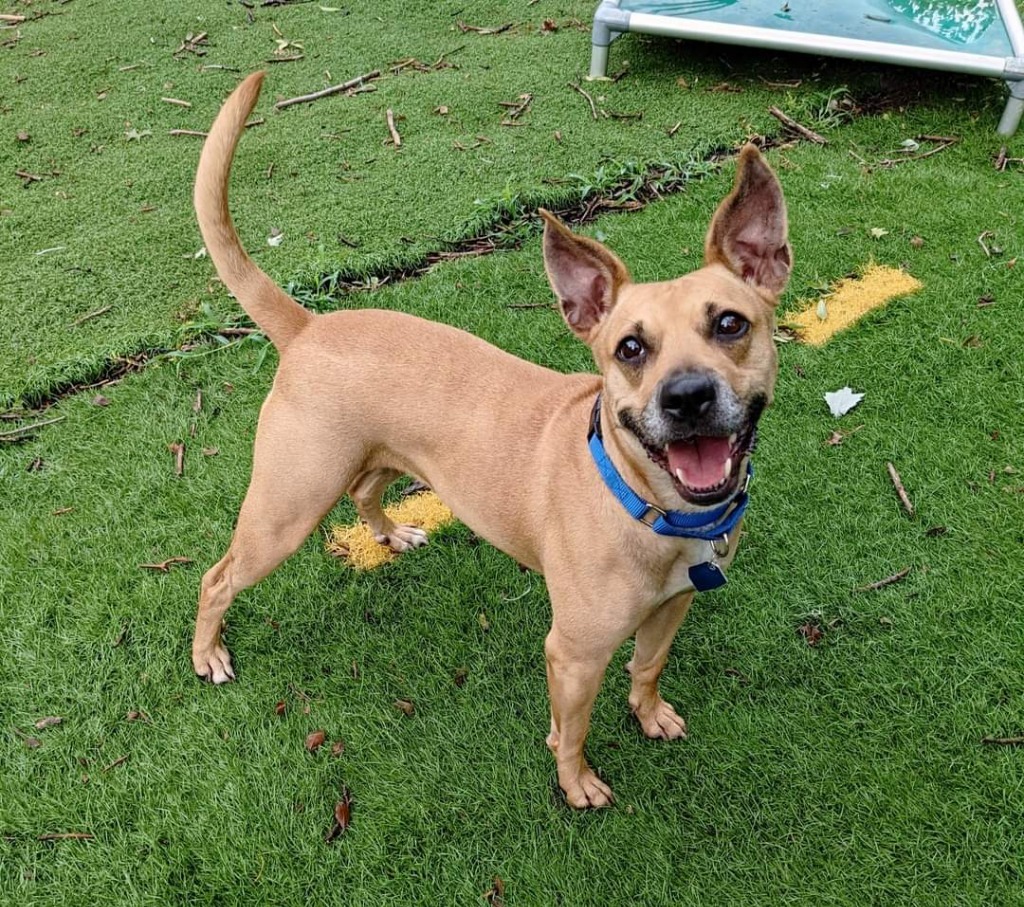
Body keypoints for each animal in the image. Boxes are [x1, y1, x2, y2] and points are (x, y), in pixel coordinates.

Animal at [192, 72, 790, 810]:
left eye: (731, 323)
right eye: (629, 348)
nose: (687, 398)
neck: (648, 506)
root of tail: (307, 326)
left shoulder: (672, 609)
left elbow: (647, 668)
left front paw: (648, 713)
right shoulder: (572, 654)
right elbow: (572, 730)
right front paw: (576, 783)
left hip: (371, 460)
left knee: (365, 489)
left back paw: (391, 532)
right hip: (286, 509)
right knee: (216, 578)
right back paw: (208, 654)